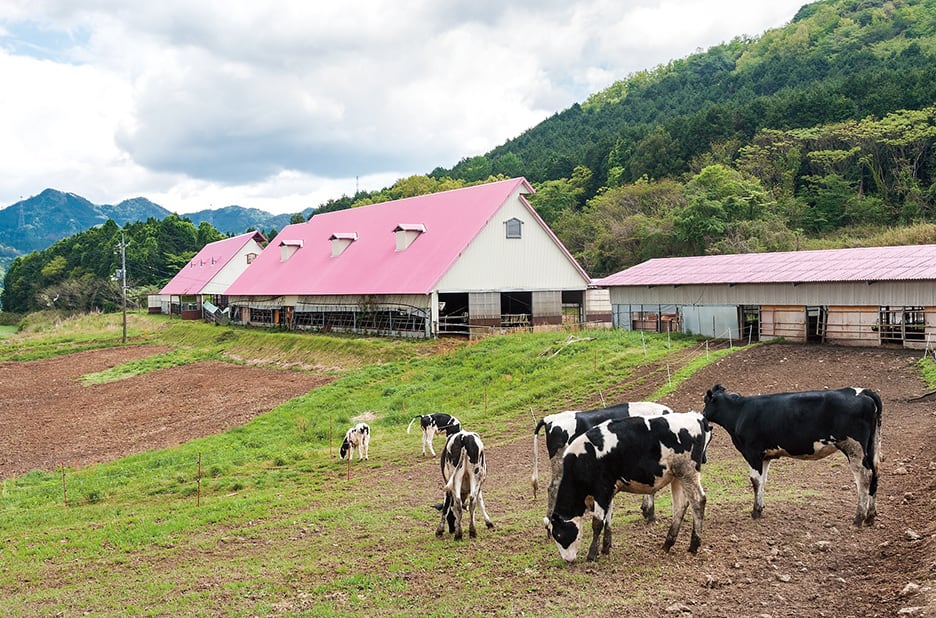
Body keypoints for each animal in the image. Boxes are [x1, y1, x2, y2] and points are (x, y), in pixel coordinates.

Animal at [544, 412, 704, 560]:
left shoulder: (601, 491)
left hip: (688, 473)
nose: (567, 559)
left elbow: (597, 523)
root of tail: (695, 416)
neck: (583, 459)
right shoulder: (609, 492)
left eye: (559, 534)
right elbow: (608, 519)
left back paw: (694, 545)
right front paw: (605, 547)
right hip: (677, 477)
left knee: (698, 502)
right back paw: (667, 544)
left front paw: (592, 553)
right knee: (680, 506)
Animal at [704, 382, 880, 524]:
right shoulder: (765, 456)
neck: (740, 411)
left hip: (854, 447)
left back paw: (859, 518)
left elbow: (755, 481)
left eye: (705, 401)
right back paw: (870, 516)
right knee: (875, 473)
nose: (703, 415)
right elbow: (763, 481)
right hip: (871, 448)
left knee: (865, 476)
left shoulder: (752, 453)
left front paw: (755, 512)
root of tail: (862, 391)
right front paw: (760, 508)